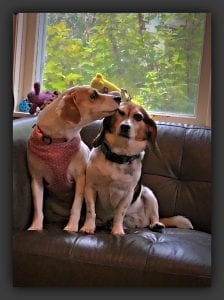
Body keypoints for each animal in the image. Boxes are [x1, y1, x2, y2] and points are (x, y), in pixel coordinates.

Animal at [26, 86, 121, 232]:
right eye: (93, 96)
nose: (119, 97)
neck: (57, 142)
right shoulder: (36, 180)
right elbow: (38, 208)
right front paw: (35, 227)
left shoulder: (80, 178)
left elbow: (76, 206)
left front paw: (71, 226)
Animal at [80, 102, 192, 236]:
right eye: (120, 112)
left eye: (138, 117)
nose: (125, 126)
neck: (119, 156)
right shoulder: (90, 187)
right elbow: (91, 210)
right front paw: (88, 227)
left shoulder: (127, 194)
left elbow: (120, 213)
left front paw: (117, 231)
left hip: (149, 194)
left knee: (153, 217)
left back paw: (155, 225)